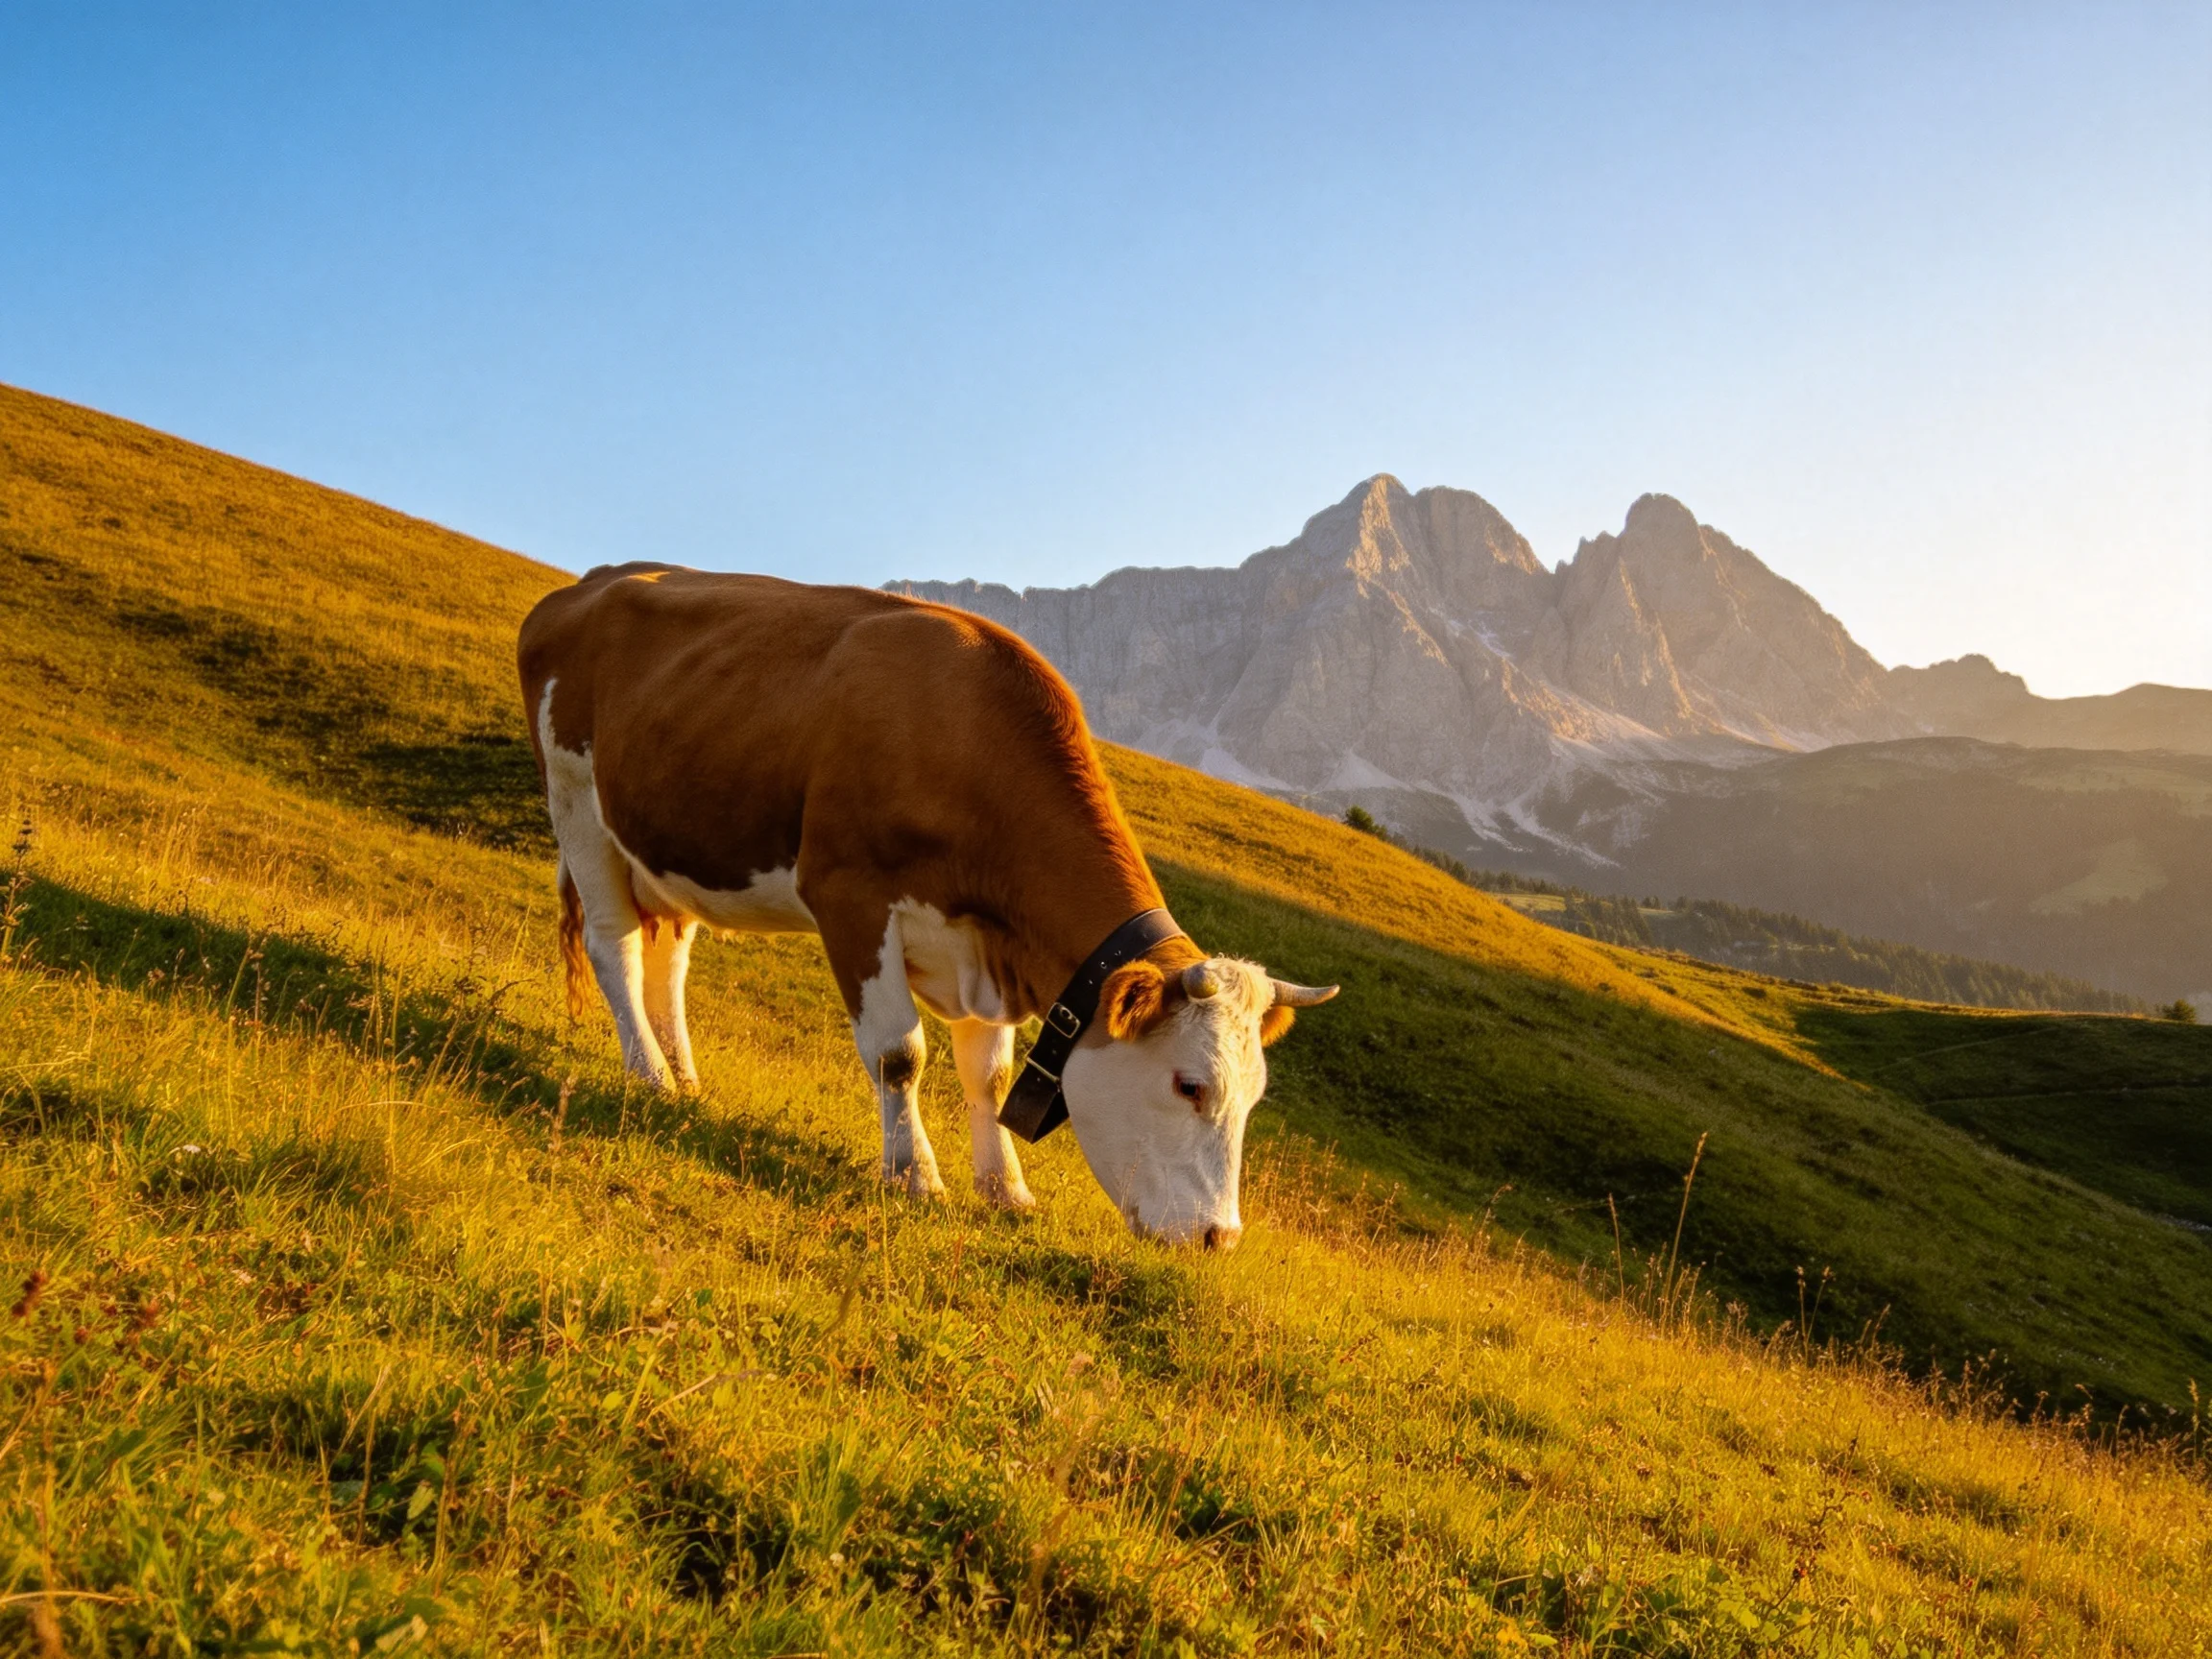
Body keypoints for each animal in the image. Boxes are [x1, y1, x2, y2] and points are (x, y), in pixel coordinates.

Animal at [518, 565, 1336, 1249]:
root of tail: (592, 582)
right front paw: (915, 1174)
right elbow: (899, 1054)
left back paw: (685, 1077)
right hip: (576, 804)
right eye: (1189, 1085)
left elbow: (990, 1077)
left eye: (1255, 1098)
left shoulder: (985, 951)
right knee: (616, 947)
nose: (1220, 1238)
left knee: (670, 956)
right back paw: (650, 1074)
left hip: (666, 841)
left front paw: (1005, 1189)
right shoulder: (850, 894)